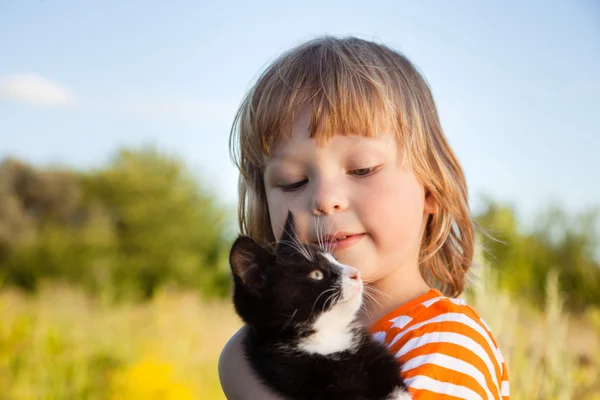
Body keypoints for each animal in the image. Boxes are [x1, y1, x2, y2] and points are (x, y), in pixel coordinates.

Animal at [227, 211, 410, 398]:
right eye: (316, 274)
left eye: (336, 260)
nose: (356, 273)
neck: (327, 338)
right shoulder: (292, 373)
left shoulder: (372, 351)